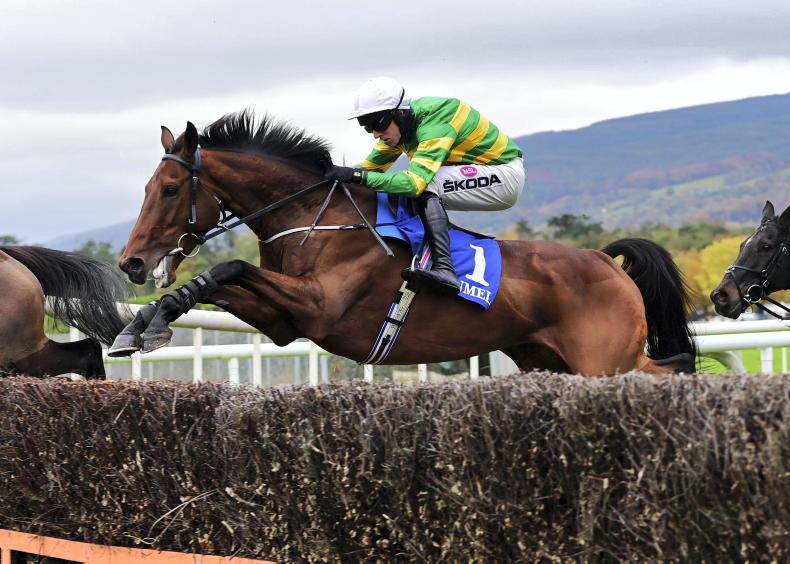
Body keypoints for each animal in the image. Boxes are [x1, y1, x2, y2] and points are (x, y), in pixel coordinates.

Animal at [112, 111, 696, 376]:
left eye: (169, 189)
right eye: (145, 188)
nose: (133, 264)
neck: (310, 217)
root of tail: (605, 260)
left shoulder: (320, 306)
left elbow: (228, 267)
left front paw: (148, 321)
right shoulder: (286, 323)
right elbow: (216, 282)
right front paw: (141, 324)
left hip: (606, 361)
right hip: (547, 360)